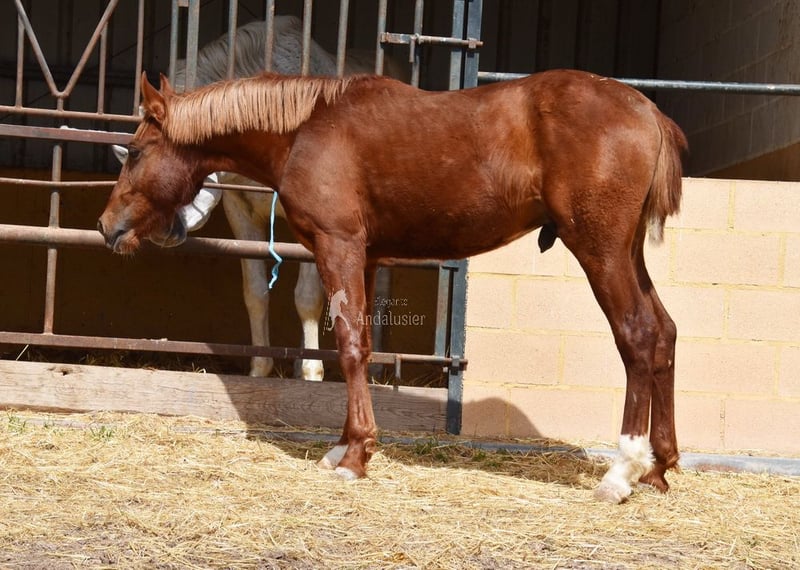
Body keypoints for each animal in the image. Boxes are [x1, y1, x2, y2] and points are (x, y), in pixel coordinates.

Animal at [97, 69, 687, 504]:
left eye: (137, 151)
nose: (107, 226)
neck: (306, 130)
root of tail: (647, 111)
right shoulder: (367, 256)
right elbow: (361, 345)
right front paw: (342, 447)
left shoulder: (338, 246)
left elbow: (349, 347)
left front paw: (356, 455)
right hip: (626, 252)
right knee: (663, 332)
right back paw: (658, 469)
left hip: (599, 250)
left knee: (637, 335)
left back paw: (621, 472)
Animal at [112, 16, 404, 380]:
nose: (162, 230)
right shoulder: (240, 208)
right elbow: (255, 292)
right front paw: (261, 368)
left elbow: (307, 297)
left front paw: (312, 372)